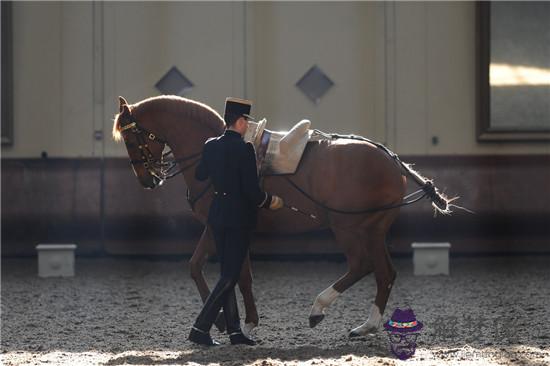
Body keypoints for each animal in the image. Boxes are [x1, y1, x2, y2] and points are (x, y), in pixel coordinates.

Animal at [112, 95, 452, 338]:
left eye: (131, 139)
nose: (147, 180)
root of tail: (391, 159)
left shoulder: (217, 225)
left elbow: (204, 269)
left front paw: (225, 323)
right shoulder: (232, 229)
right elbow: (235, 274)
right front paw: (242, 322)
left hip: (348, 227)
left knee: (362, 265)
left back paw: (319, 308)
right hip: (373, 230)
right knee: (385, 273)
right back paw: (367, 325)